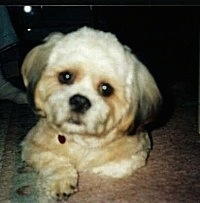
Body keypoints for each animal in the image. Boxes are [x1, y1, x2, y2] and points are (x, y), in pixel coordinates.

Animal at [21, 26, 162, 201]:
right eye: (66, 76)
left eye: (106, 89)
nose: (80, 101)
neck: (80, 139)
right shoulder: (31, 146)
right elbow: (53, 161)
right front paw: (61, 182)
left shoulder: (136, 154)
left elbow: (105, 165)